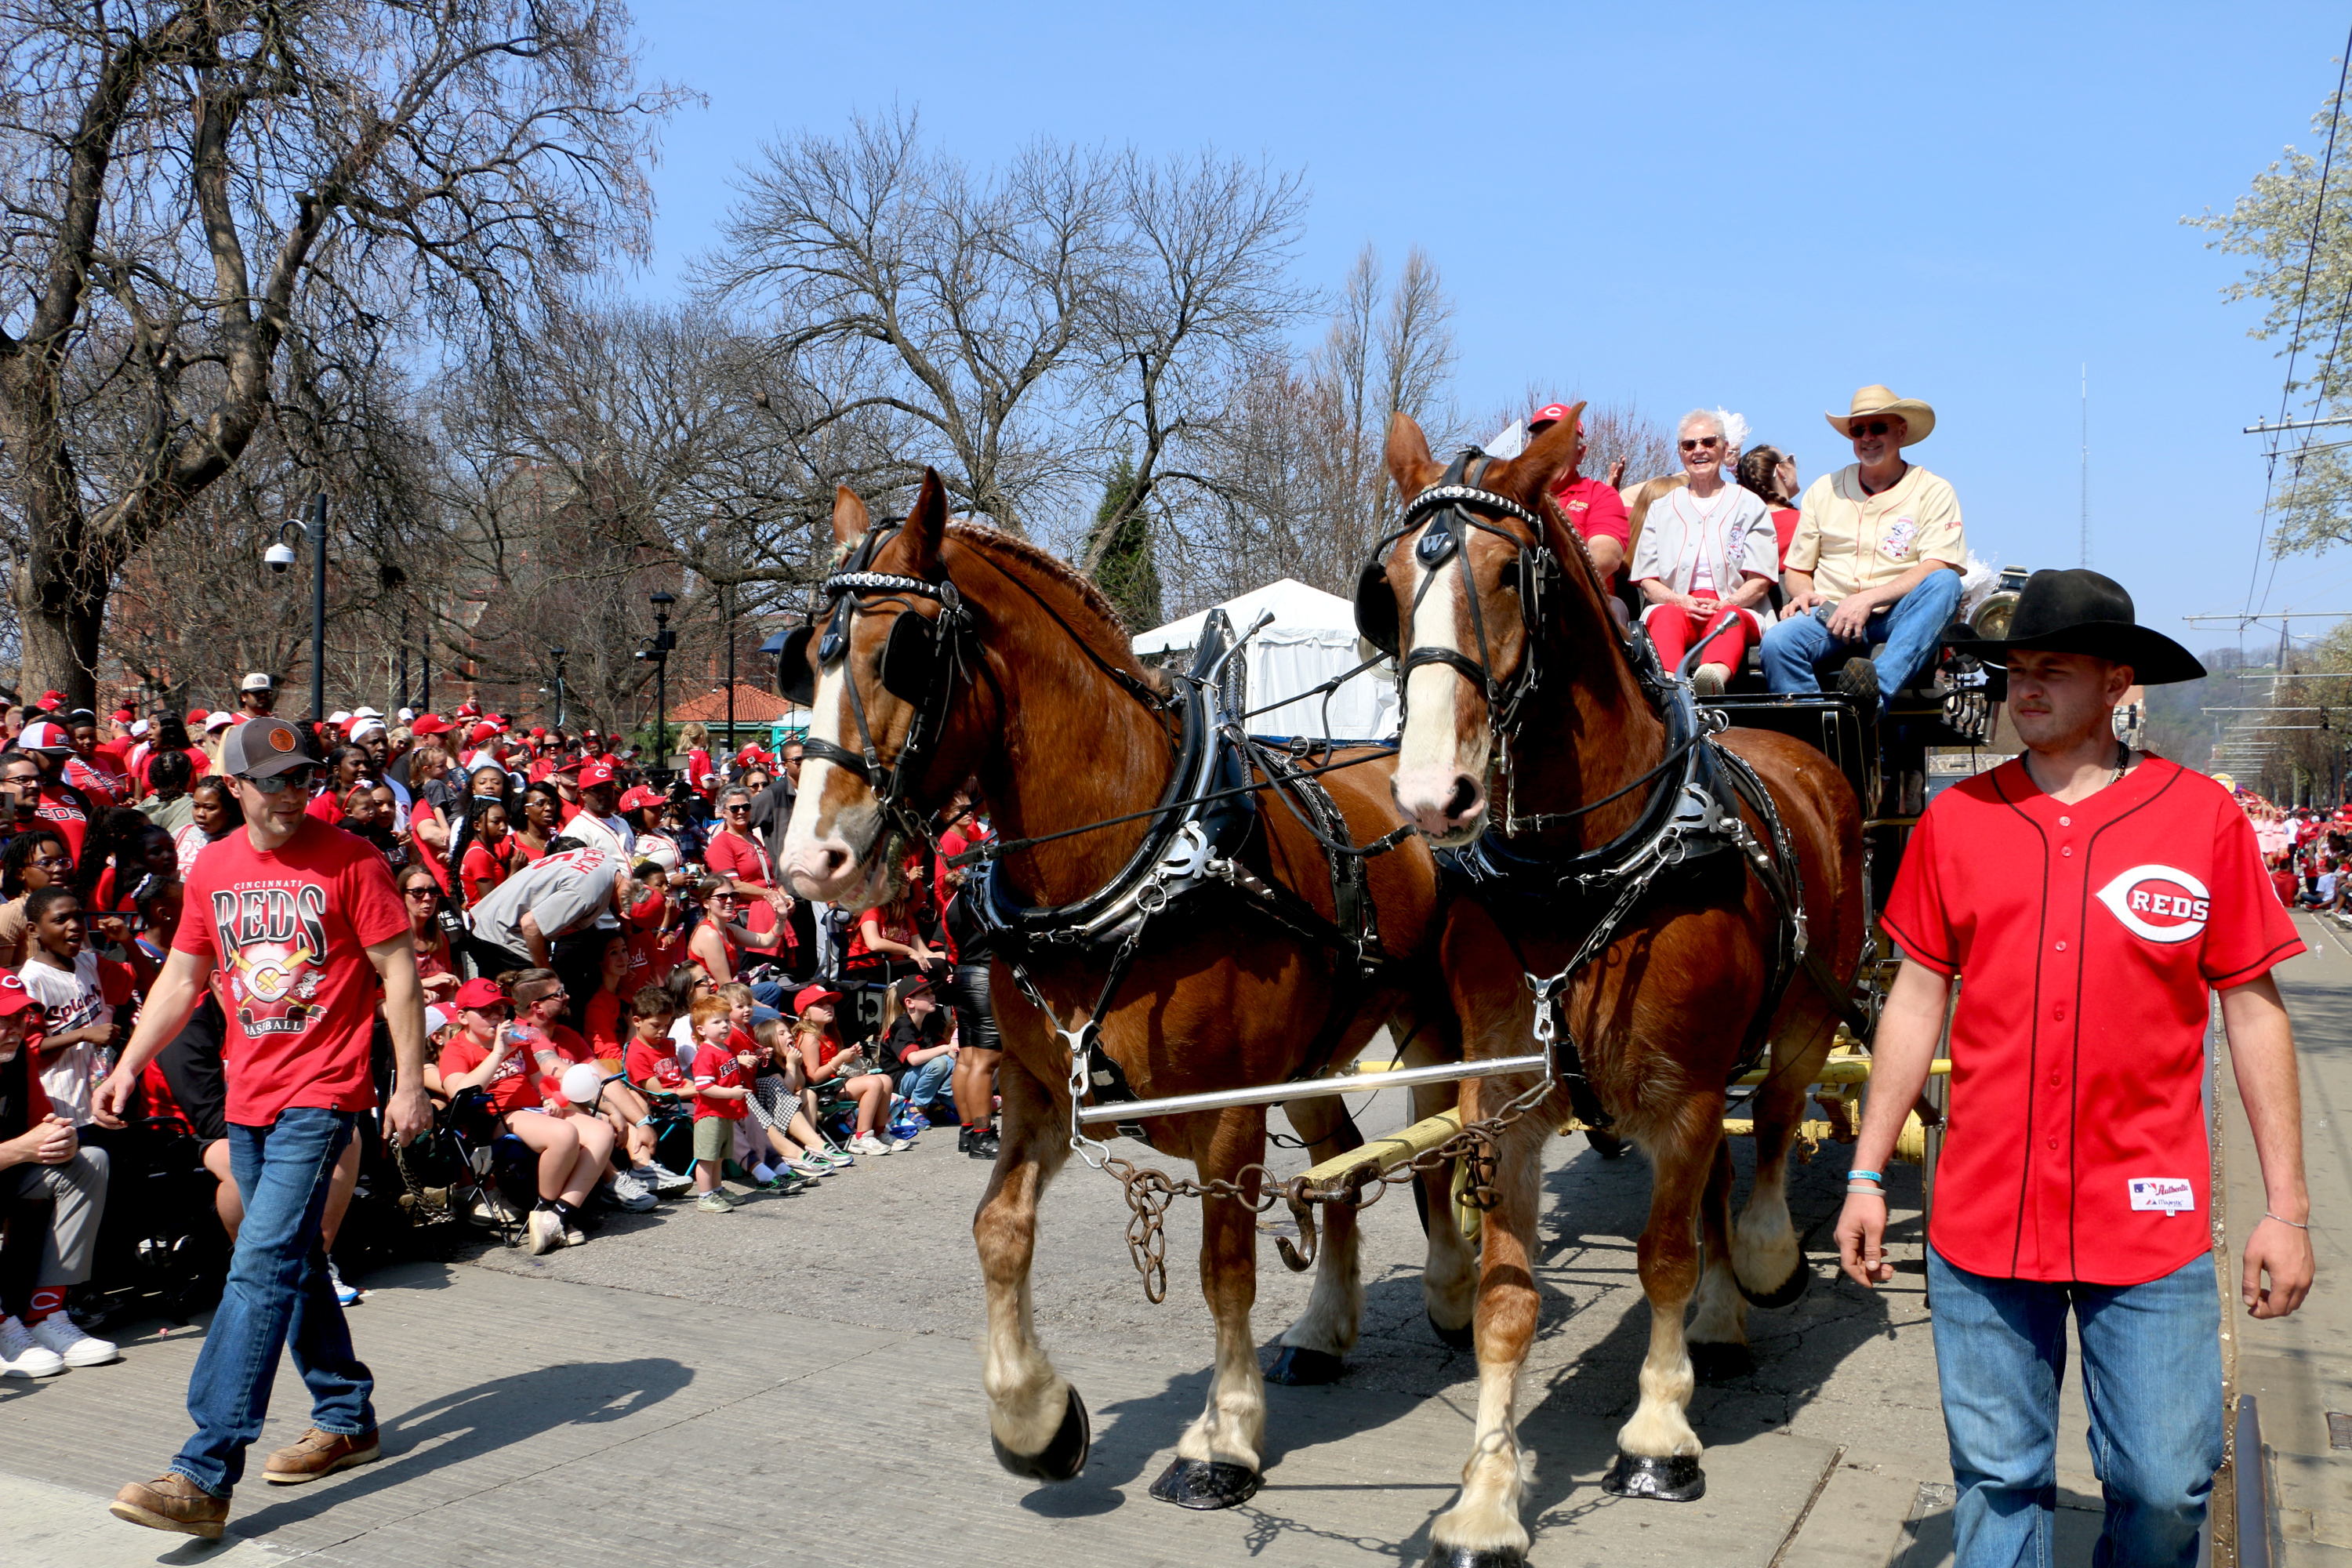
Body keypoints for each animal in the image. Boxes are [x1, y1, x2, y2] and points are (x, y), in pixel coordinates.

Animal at [777, 473, 1471, 1509]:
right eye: (805, 658)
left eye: (902, 652)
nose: (810, 859)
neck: (1130, 862)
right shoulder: (1036, 1086)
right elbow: (998, 1228)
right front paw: (1033, 1417)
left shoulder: (1228, 1108)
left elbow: (1224, 1268)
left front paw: (1224, 1438)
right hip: (1310, 1050)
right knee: (1341, 1160)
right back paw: (1322, 1331)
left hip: (1426, 1015)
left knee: (1444, 1142)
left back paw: (1454, 1289)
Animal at [1358, 408, 1867, 1567]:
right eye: (1390, 586)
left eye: (1510, 573)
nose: (1433, 794)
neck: (1583, 867)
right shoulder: (1505, 1100)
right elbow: (1508, 1300)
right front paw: (1486, 1500)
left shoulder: (1681, 1093)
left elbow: (1665, 1256)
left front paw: (1657, 1435)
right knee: (1726, 1172)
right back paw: (1724, 1318)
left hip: (1806, 1009)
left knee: (1774, 1132)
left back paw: (1764, 1263)